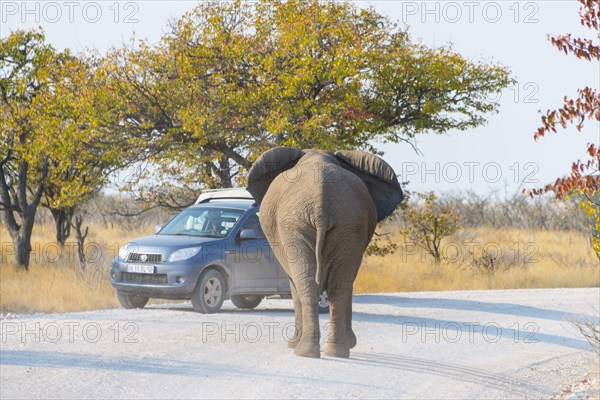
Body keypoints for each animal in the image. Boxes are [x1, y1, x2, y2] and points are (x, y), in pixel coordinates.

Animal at [248, 148, 404, 360]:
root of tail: (321, 206)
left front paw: (292, 344)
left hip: (299, 225)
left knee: (307, 284)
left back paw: (304, 351)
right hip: (346, 224)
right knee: (338, 286)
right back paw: (335, 352)